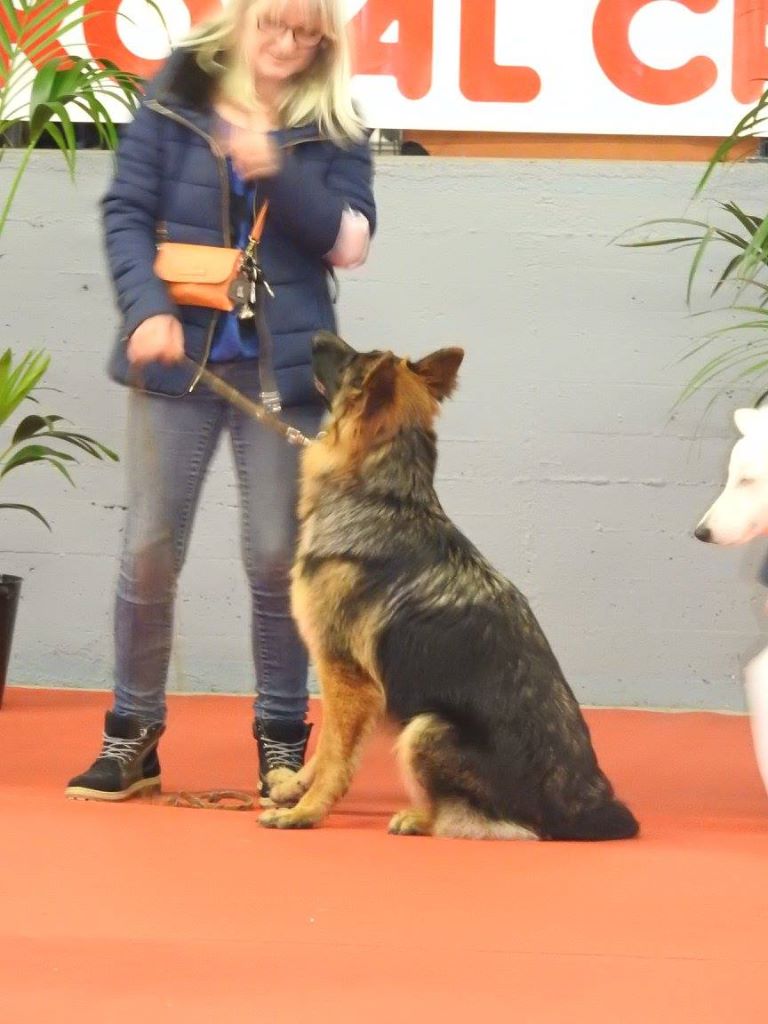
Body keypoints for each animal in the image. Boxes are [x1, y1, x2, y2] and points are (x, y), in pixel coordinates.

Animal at [262, 331, 638, 835]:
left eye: (354, 360)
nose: (315, 334)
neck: (387, 497)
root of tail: (584, 807)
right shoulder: (346, 684)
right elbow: (324, 751)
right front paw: (293, 789)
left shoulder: (347, 678)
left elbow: (335, 757)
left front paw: (306, 812)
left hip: (425, 727)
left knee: (482, 824)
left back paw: (417, 818)